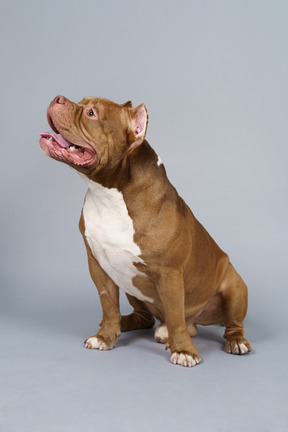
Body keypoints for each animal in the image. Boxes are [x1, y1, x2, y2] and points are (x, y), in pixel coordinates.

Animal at [39, 95, 251, 368]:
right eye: (83, 102)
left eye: (91, 113)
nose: (58, 98)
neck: (109, 194)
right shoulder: (98, 265)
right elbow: (108, 304)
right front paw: (106, 336)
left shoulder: (169, 274)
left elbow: (175, 313)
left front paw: (183, 350)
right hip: (132, 288)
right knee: (144, 317)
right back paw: (125, 323)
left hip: (235, 286)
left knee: (229, 323)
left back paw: (234, 341)